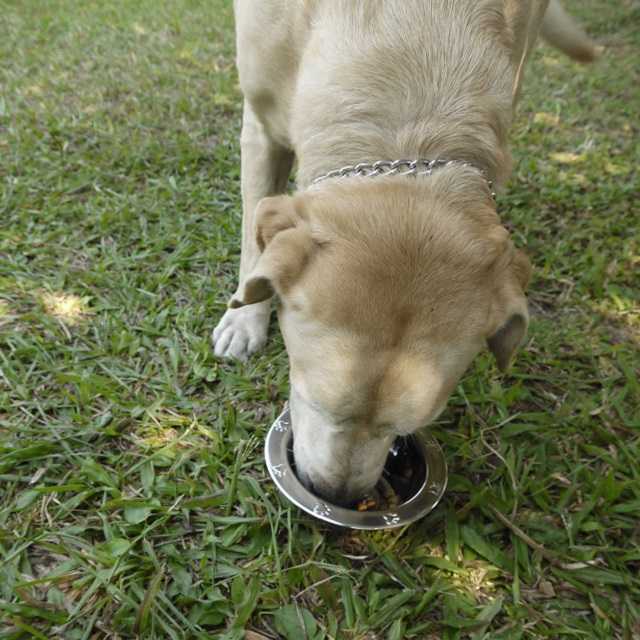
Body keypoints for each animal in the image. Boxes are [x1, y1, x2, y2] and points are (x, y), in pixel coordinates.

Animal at [215, 0, 600, 502]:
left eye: (405, 427)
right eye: (318, 402)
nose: (337, 496)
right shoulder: (262, 124)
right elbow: (252, 232)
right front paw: (244, 319)